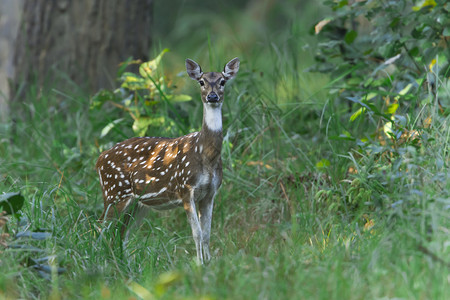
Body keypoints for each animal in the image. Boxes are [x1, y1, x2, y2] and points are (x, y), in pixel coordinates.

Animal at [97, 57, 241, 264]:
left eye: (222, 81)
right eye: (201, 82)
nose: (212, 96)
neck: (206, 156)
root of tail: (99, 160)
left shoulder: (210, 192)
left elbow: (207, 234)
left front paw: (209, 264)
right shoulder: (185, 188)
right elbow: (197, 234)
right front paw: (199, 264)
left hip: (138, 203)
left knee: (122, 232)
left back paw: (124, 263)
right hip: (114, 192)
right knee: (101, 226)